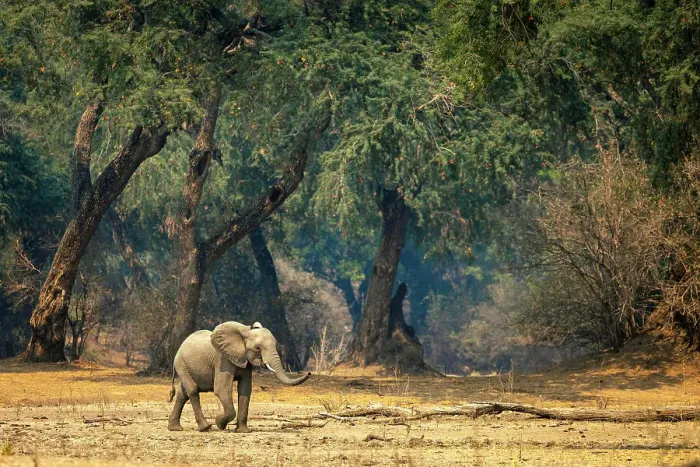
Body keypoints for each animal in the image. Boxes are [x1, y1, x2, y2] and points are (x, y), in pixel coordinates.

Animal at [167, 321, 311, 433]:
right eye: (257, 348)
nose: (309, 373)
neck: (244, 333)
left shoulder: (246, 362)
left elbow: (245, 390)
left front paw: (243, 431)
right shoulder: (223, 360)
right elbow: (222, 389)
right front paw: (219, 423)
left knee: (182, 394)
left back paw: (175, 428)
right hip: (181, 364)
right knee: (192, 390)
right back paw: (206, 427)